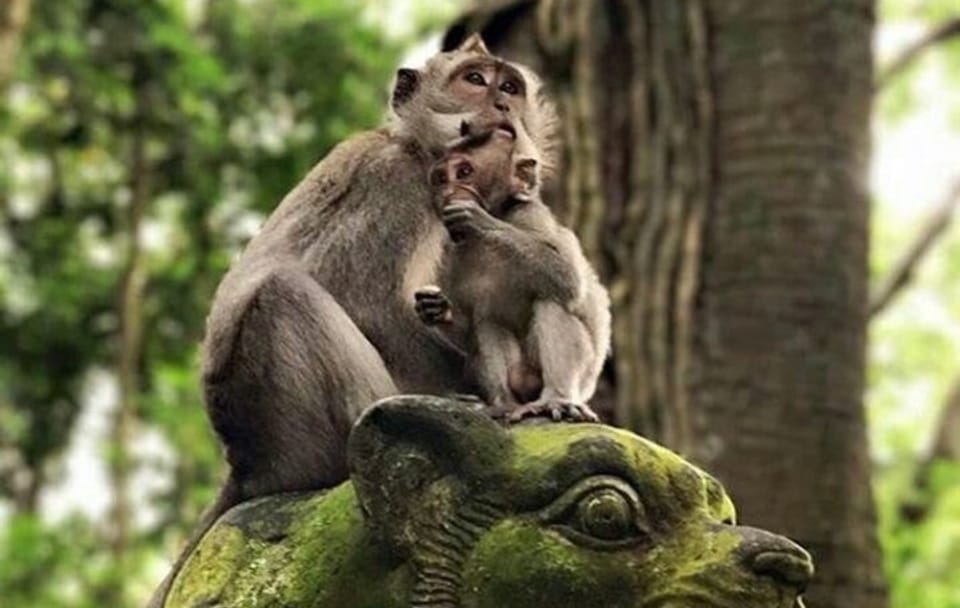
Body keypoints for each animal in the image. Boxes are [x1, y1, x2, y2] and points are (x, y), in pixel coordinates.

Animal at [147, 35, 560, 608]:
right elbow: (370, 302)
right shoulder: (395, 185)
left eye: (511, 86)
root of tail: (244, 463)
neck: (418, 148)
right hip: (293, 427)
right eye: (475, 80)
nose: (503, 106)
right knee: (286, 295)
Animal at [413, 128, 611, 423]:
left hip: (580, 375)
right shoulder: (449, 253)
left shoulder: (530, 215)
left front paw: (479, 220)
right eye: (440, 179)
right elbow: (471, 324)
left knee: (552, 298)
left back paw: (557, 399)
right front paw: (436, 308)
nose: (447, 193)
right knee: (487, 321)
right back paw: (503, 404)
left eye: (464, 172)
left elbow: (568, 279)